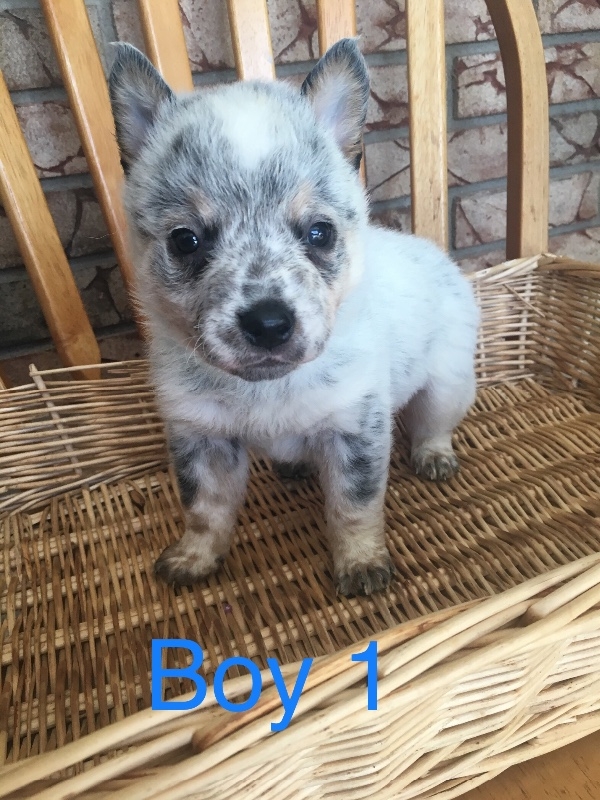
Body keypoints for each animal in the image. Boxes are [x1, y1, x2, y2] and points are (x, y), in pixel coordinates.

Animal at [108, 40, 478, 596]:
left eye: (320, 233)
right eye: (185, 240)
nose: (267, 323)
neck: (265, 391)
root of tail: (435, 254)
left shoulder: (355, 430)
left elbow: (353, 506)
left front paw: (360, 563)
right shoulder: (202, 438)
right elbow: (204, 510)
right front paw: (195, 557)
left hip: (447, 384)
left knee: (433, 424)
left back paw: (434, 455)